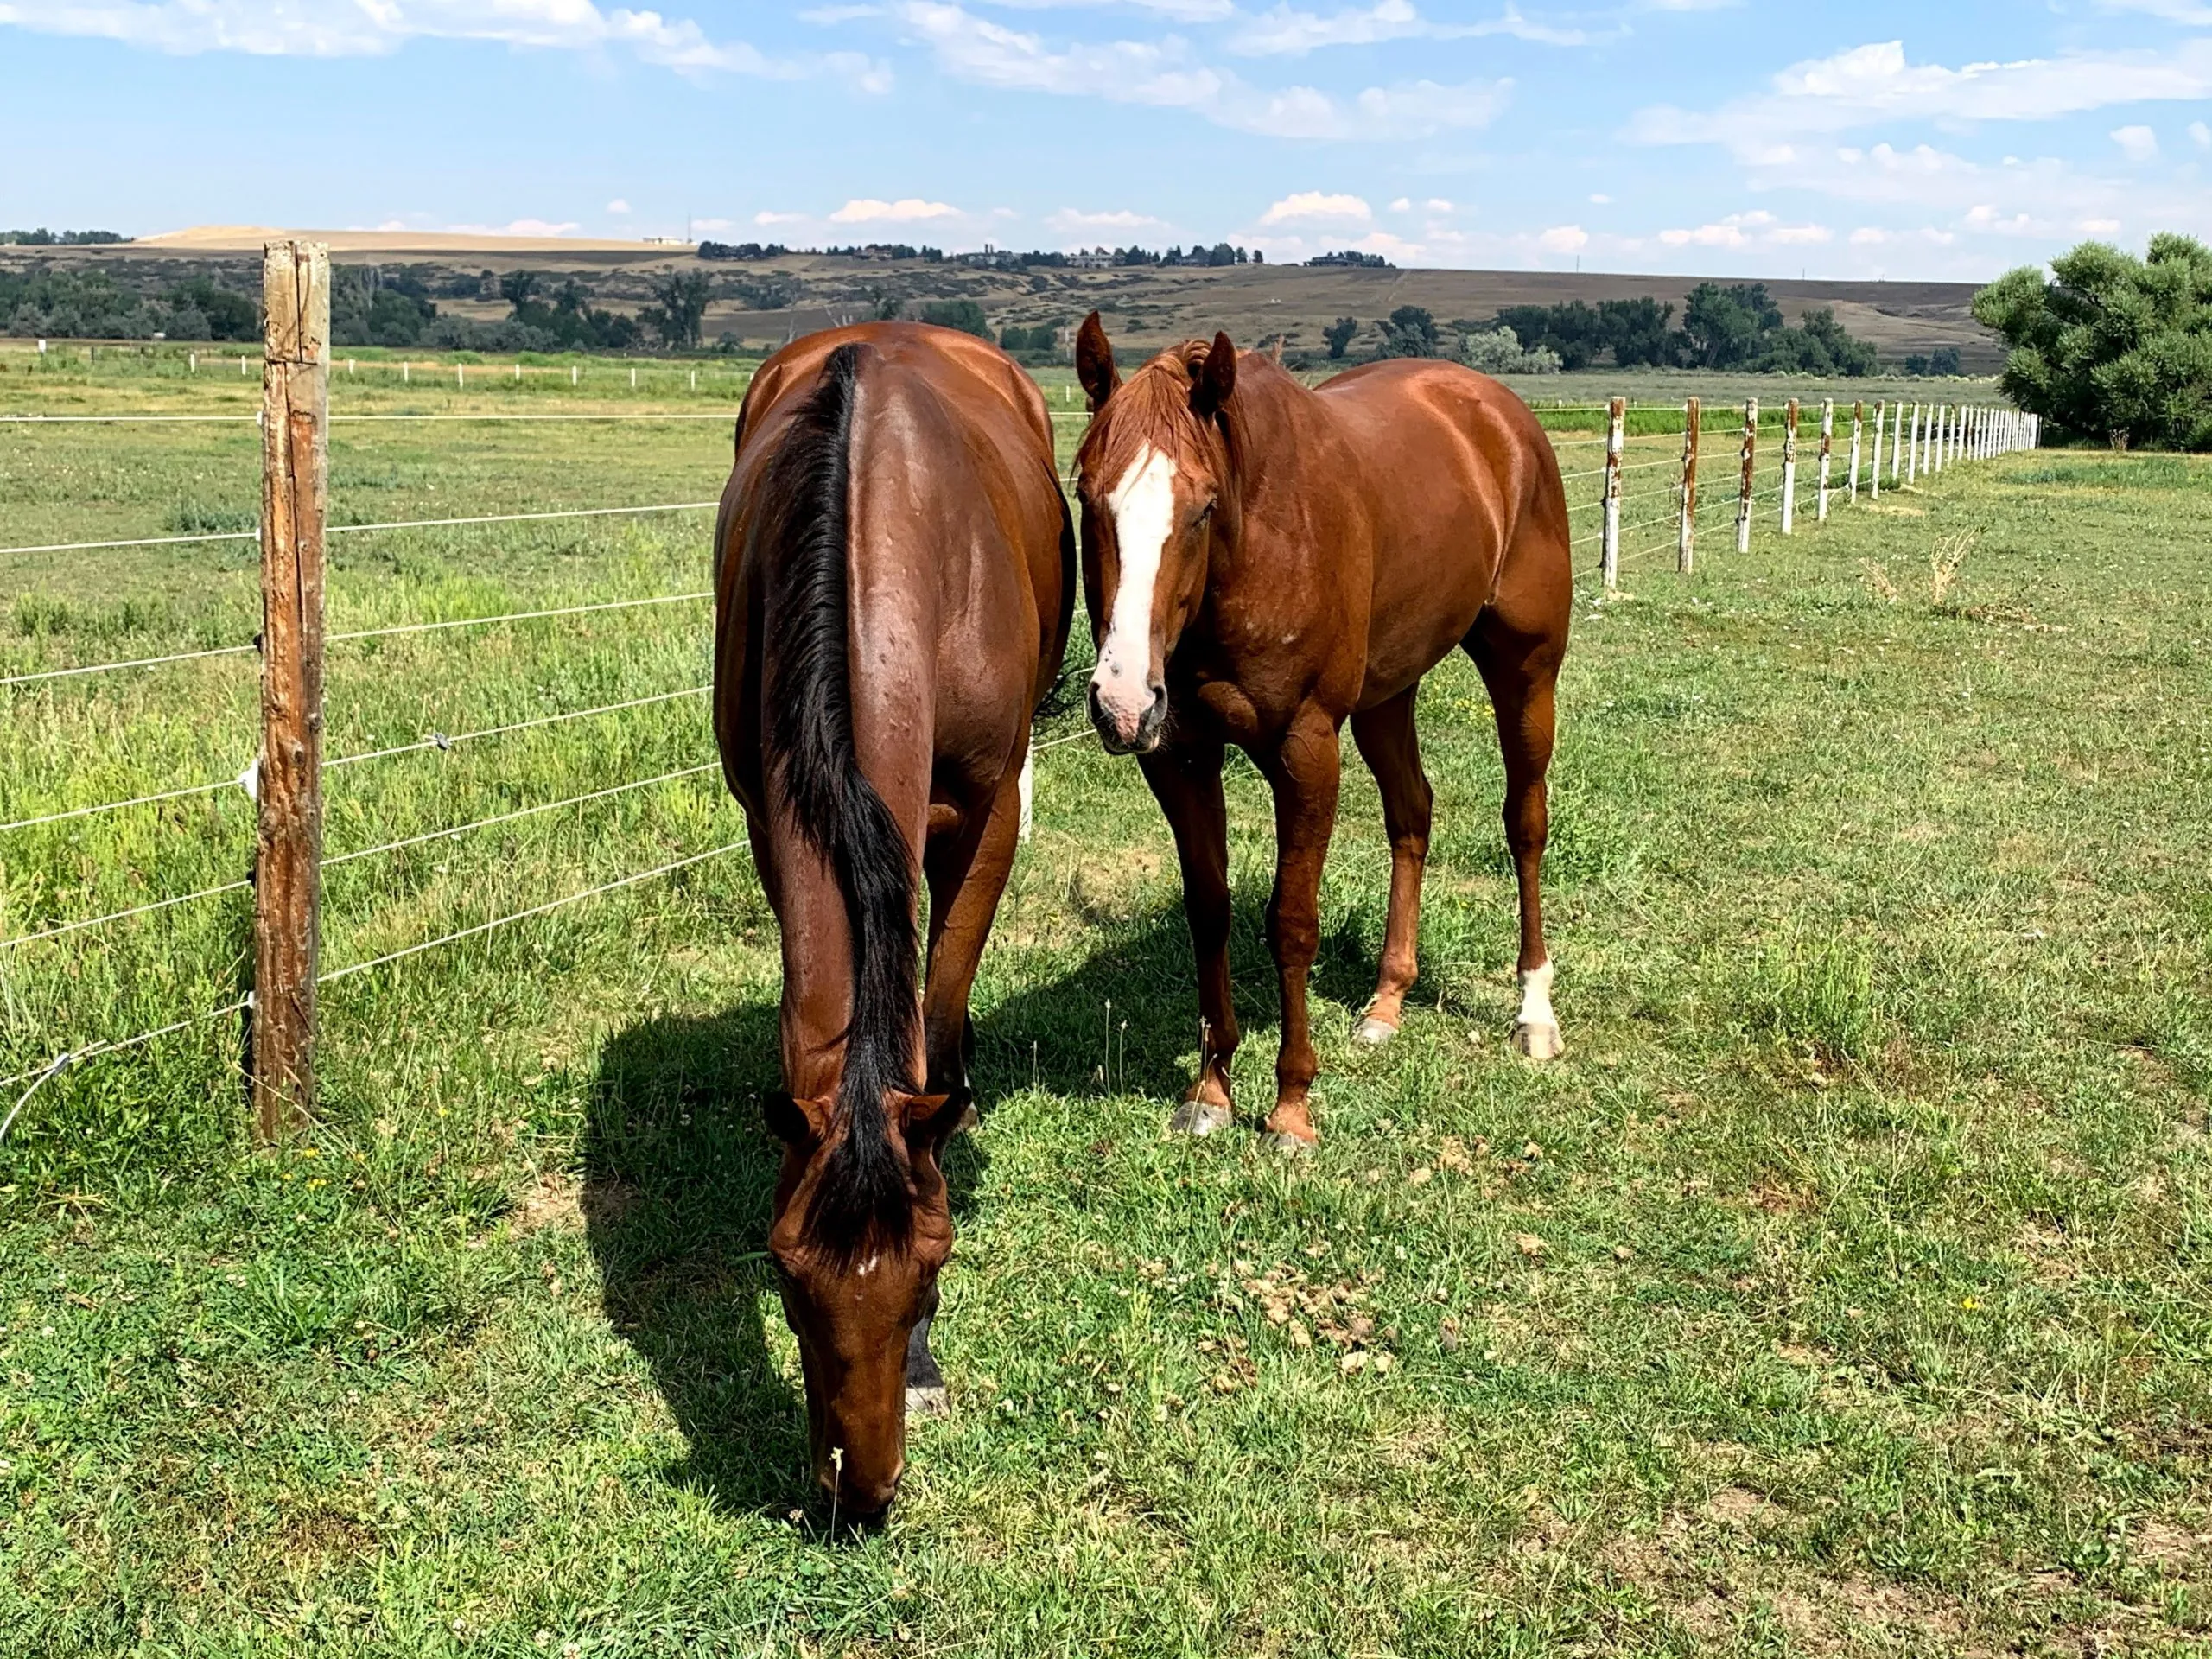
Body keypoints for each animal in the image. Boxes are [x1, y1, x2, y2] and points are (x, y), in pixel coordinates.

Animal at [712, 323, 1074, 1519]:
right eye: (785, 1275)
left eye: (934, 1269)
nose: (858, 1495)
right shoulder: (774, 813)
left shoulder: (986, 813)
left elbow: (939, 1007)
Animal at [1071, 313, 1572, 1151]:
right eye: (1087, 495)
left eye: (1203, 506)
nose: (1122, 701)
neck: (1258, 547)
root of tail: (1498, 412)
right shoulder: (1180, 757)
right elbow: (1209, 912)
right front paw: (1211, 1088)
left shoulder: (1306, 752)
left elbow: (1291, 923)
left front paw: (1291, 1108)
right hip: (1387, 696)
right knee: (1412, 814)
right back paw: (1386, 1002)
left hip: (1525, 674)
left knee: (1524, 825)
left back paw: (1534, 1013)